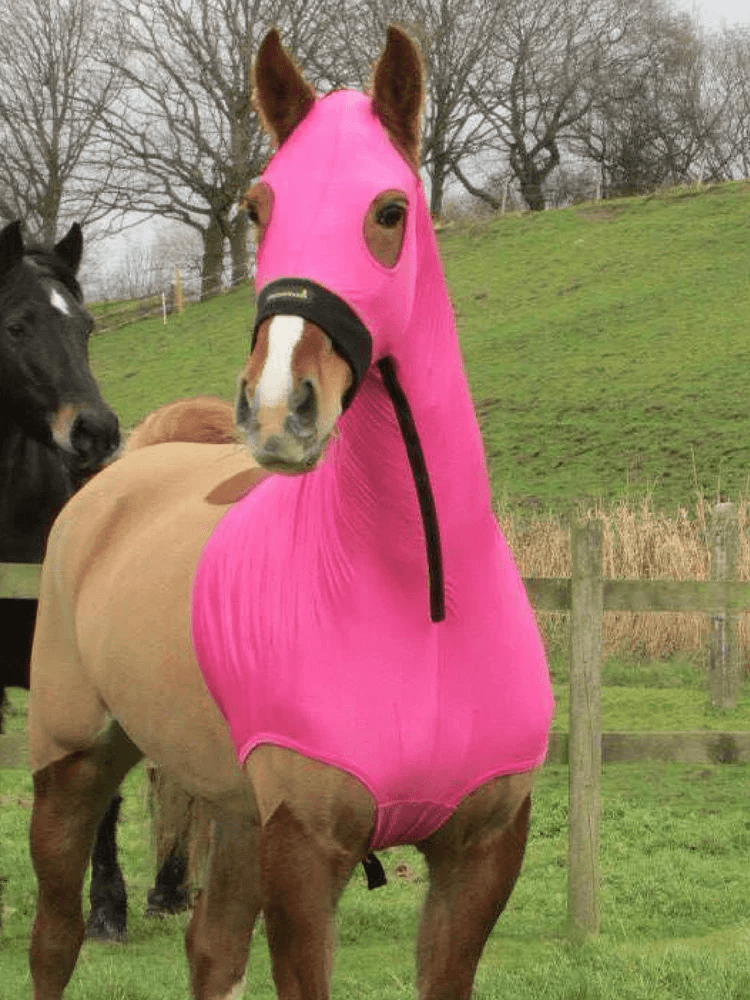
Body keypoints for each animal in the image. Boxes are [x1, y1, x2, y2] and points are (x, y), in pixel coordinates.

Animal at [27, 26, 553, 1000]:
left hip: (233, 811)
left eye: (389, 210)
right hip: (73, 765)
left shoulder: (480, 855)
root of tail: (112, 479)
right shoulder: (306, 854)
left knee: (210, 947)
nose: (278, 410)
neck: (421, 597)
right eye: (258, 209)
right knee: (55, 939)